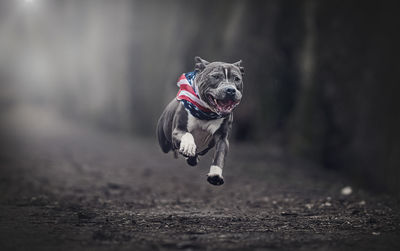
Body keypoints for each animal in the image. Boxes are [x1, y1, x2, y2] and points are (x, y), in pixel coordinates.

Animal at [156, 57, 244, 186]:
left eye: (237, 79)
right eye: (216, 76)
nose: (230, 90)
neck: (206, 112)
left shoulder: (222, 138)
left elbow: (220, 155)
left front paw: (215, 175)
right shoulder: (178, 131)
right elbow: (187, 135)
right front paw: (188, 146)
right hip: (164, 143)